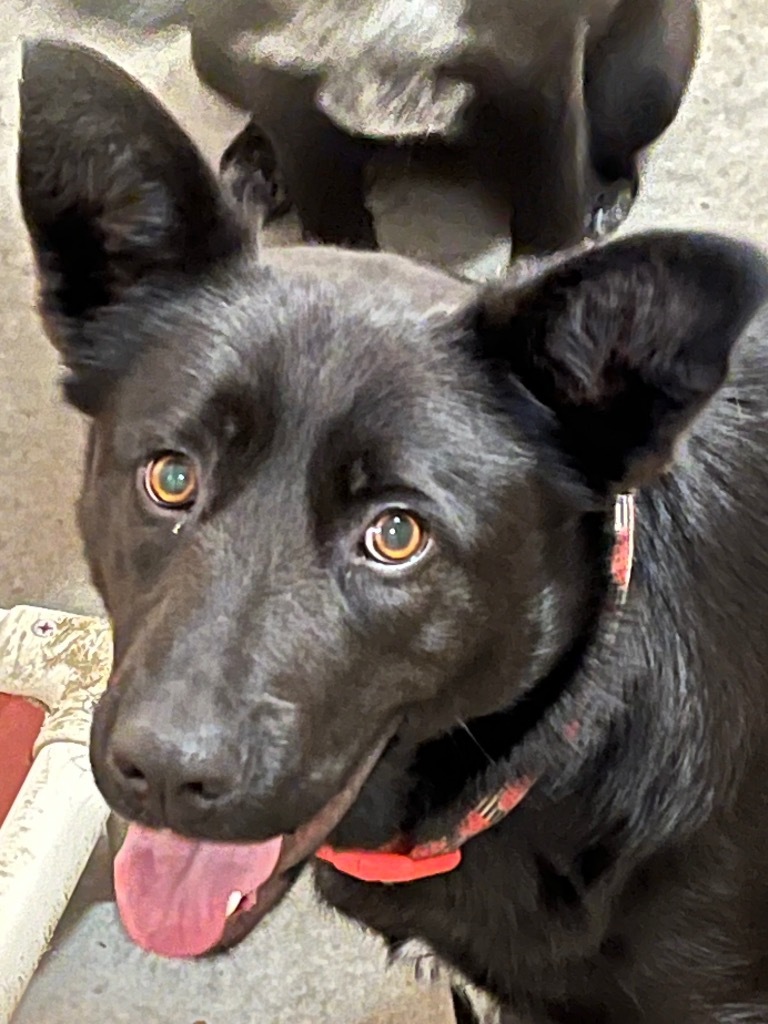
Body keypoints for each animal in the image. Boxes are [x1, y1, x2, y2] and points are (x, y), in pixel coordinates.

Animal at [189, 0, 700, 256]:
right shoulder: (281, 83)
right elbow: (336, 224)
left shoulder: (543, 78)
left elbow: (546, 229)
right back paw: (257, 165)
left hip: (638, 83)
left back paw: (607, 202)